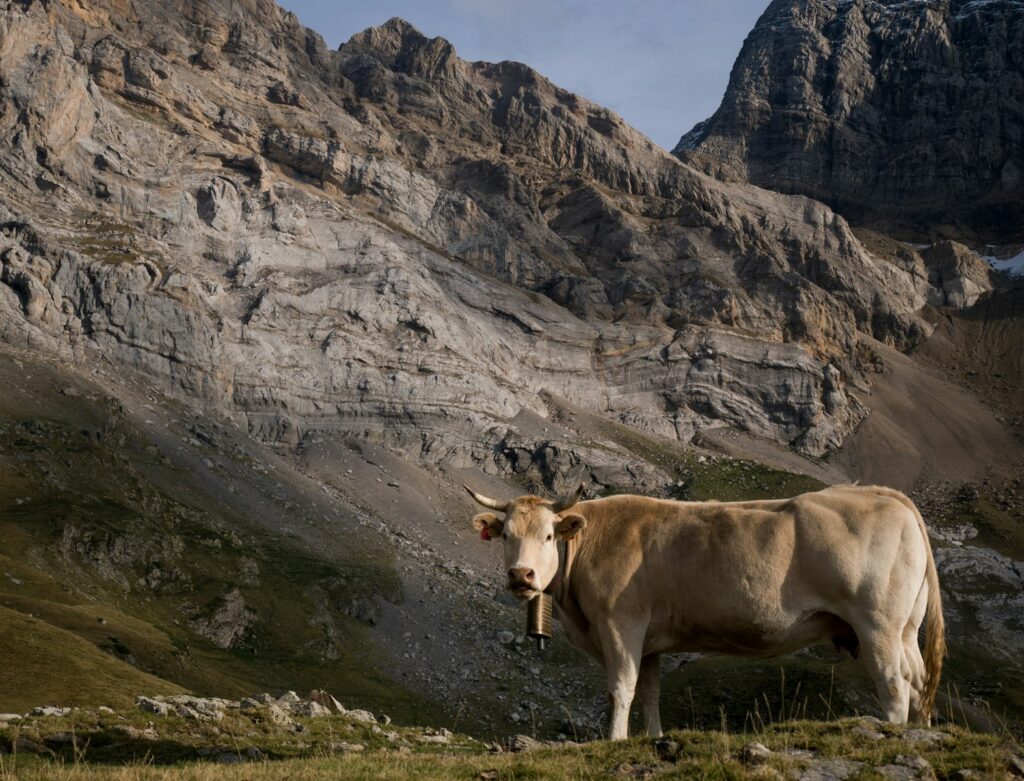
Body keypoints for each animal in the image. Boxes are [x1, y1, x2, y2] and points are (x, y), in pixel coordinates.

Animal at [466, 483, 945, 740]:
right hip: (904, 629)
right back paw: (922, 732)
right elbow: (649, 693)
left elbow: (621, 689)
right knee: (918, 681)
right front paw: (652, 740)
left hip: (878, 625)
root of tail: (886, 494)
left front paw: (614, 739)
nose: (521, 575)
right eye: (506, 534)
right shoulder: (650, 642)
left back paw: (895, 734)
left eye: (548, 536)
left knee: (893, 684)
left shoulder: (621, 625)